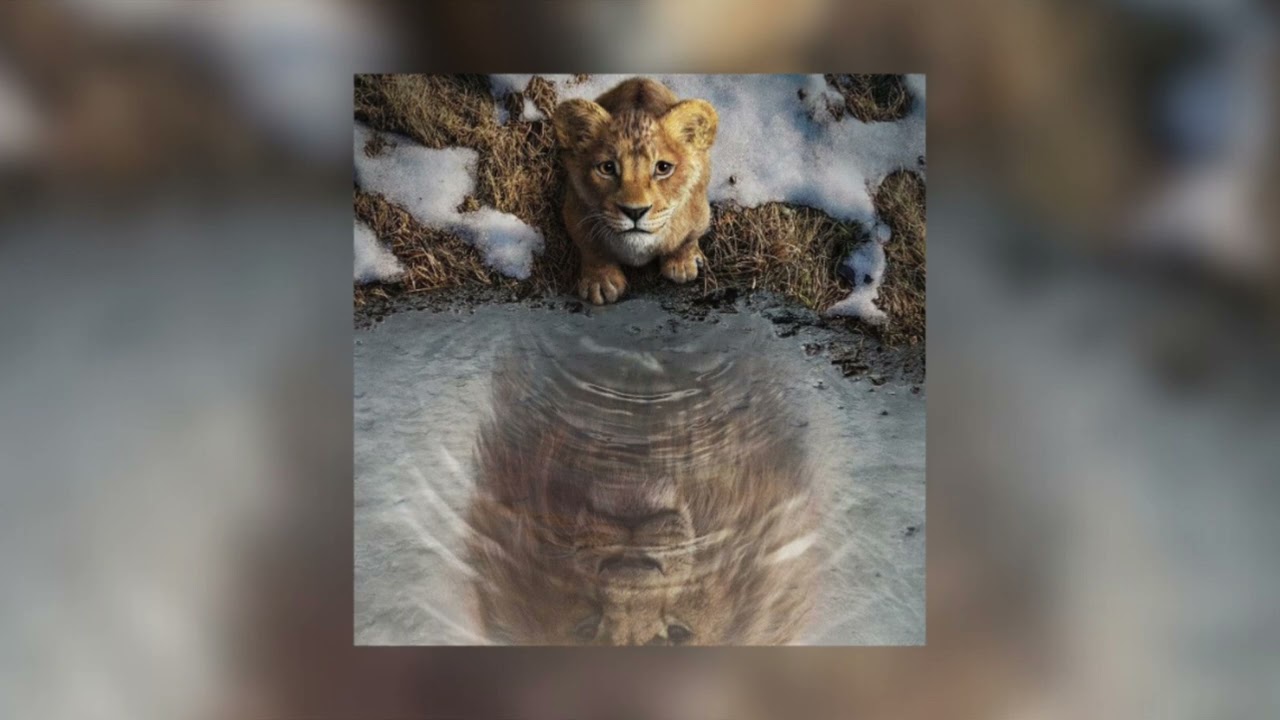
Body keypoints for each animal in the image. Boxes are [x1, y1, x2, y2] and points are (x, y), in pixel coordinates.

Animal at [552, 77, 719, 305]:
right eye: (607, 168)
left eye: (663, 168)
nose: (634, 212)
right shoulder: (575, 211)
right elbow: (592, 248)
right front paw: (600, 282)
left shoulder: (699, 212)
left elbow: (687, 239)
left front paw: (682, 263)